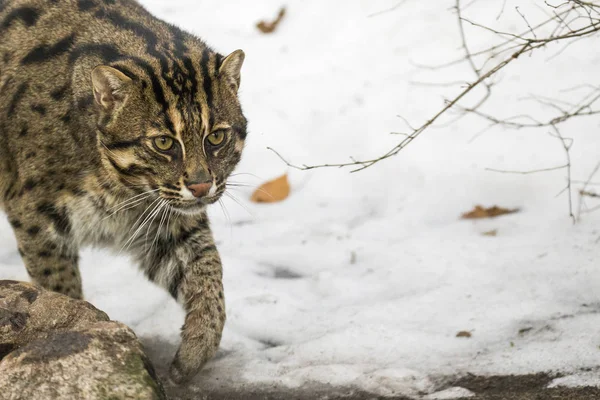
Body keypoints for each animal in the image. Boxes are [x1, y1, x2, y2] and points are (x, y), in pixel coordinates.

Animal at [0, 0, 247, 382]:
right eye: (163, 143)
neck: (120, 188)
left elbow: (207, 271)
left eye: (217, 137)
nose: (201, 185)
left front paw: (196, 350)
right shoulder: (35, 216)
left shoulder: (163, 220)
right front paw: (66, 328)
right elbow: (58, 285)